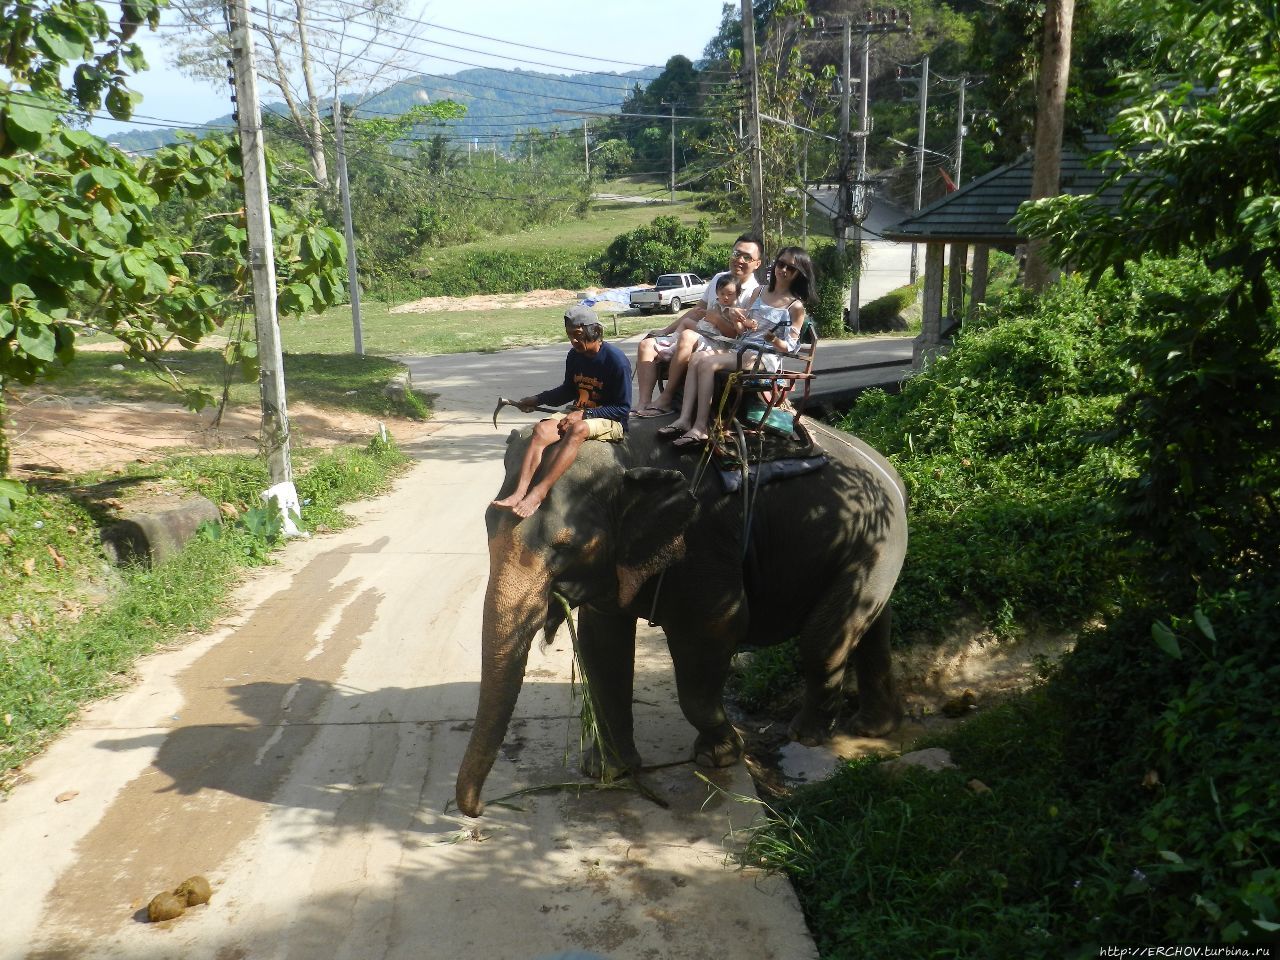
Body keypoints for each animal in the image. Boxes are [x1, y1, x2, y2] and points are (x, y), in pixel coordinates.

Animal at [455, 414, 906, 819]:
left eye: (566, 546)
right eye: (487, 524)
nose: (479, 811)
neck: (627, 454)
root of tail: (886, 466)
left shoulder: (703, 545)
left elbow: (714, 633)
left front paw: (718, 757)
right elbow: (603, 645)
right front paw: (607, 772)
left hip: (877, 540)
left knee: (822, 641)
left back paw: (808, 735)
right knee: (873, 625)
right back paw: (873, 728)